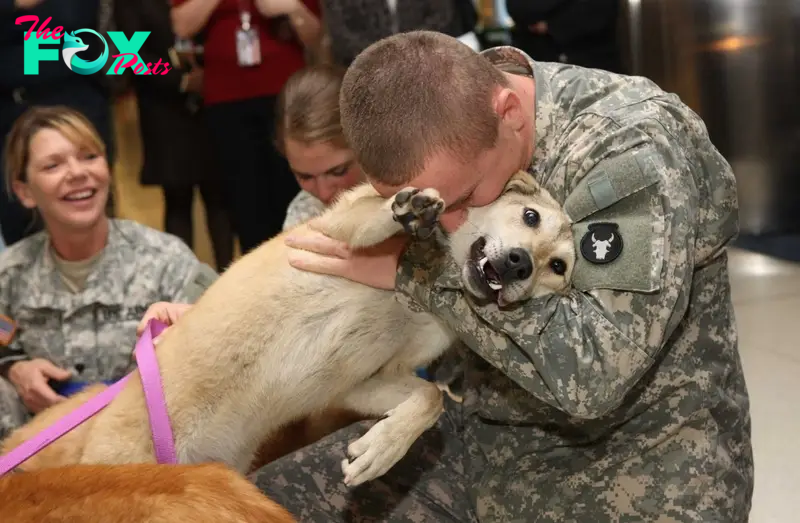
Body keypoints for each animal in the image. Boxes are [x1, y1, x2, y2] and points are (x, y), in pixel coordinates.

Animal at [0, 171, 576, 488]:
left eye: (560, 267)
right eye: (528, 216)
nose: (521, 264)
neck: (426, 289)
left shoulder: (361, 383)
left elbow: (429, 398)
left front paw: (381, 449)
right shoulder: (334, 230)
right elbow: (373, 217)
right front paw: (408, 212)